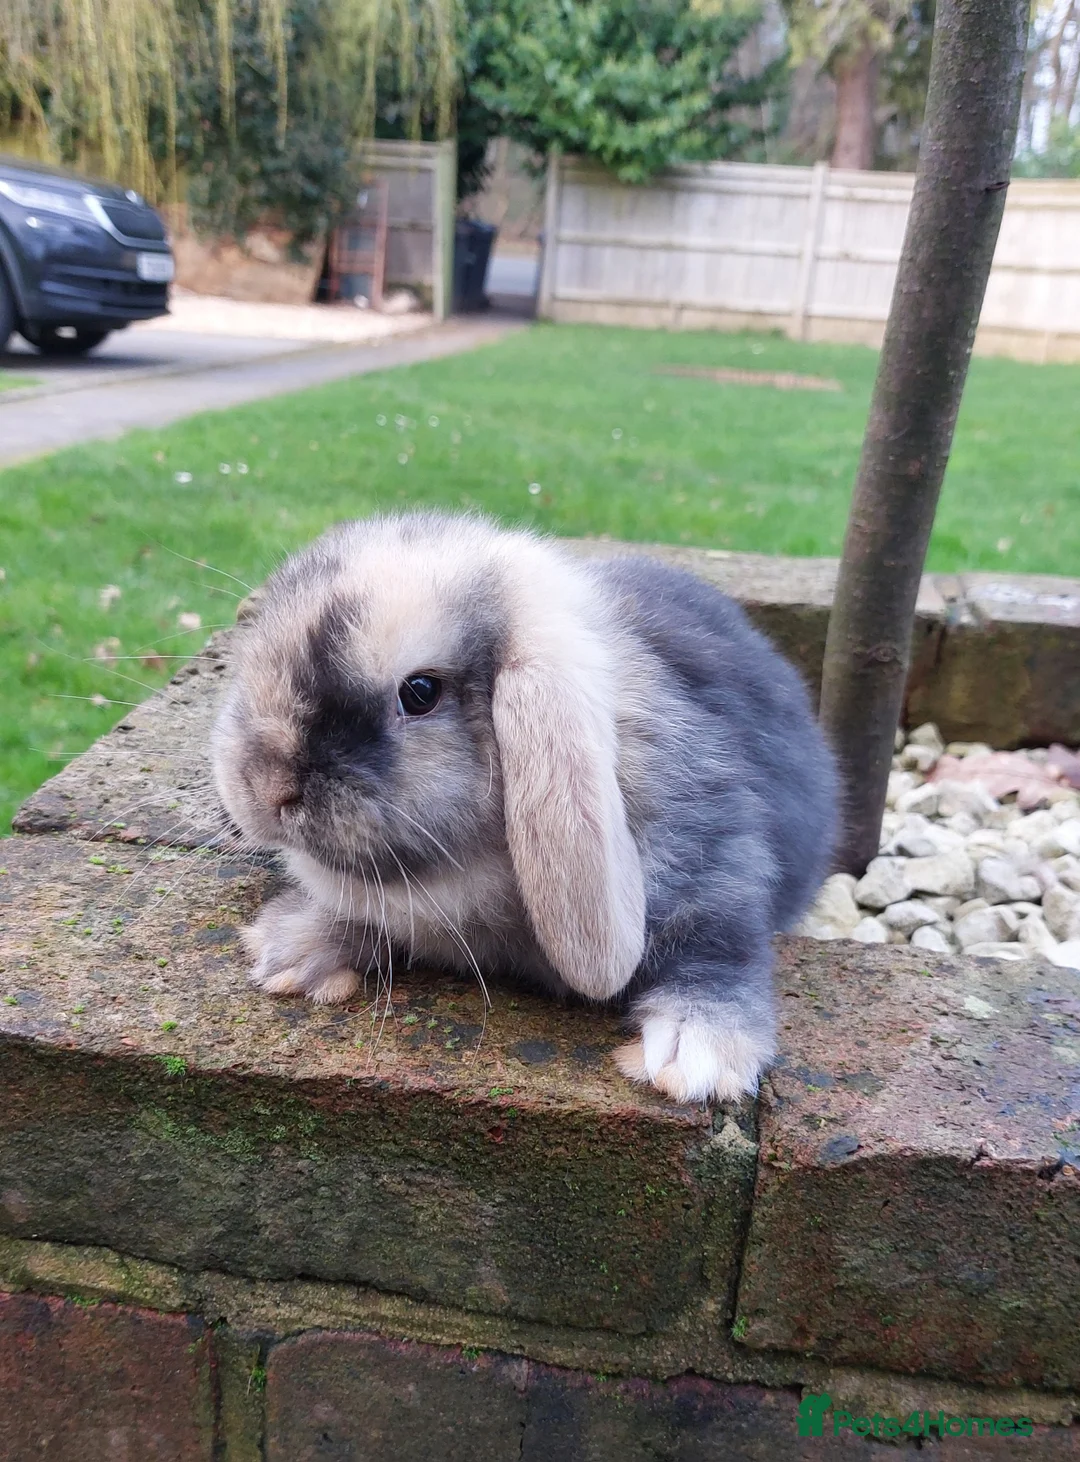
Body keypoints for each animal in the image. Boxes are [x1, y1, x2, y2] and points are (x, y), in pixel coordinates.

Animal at [212, 511, 837, 1104]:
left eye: (420, 692)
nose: (266, 787)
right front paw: (290, 953)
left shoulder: (718, 865)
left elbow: (720, 952)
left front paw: (693, 1057)